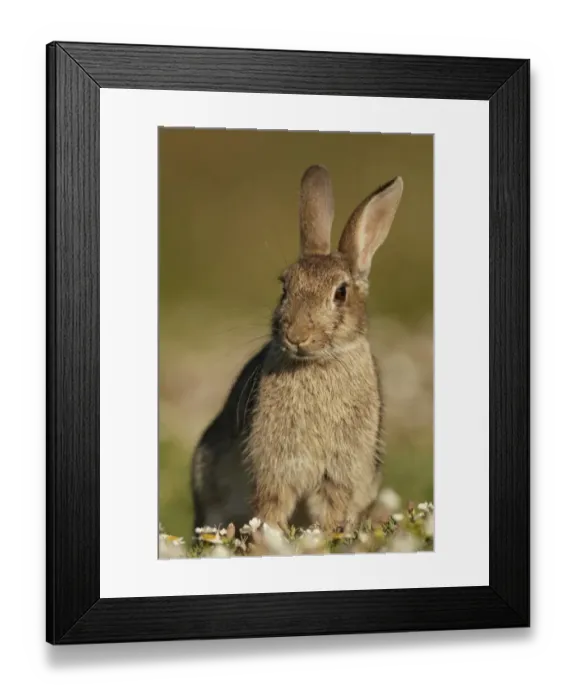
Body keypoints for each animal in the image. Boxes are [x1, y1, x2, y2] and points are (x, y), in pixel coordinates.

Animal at [191, 165, 404, 535]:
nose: (296, 335)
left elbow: (332, 508)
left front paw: (327, 536)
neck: (318, 362)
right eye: (284, 287)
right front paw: (270, 536)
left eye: (341, 293)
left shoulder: (340, 472)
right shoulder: (274, 467)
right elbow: (271, 505)